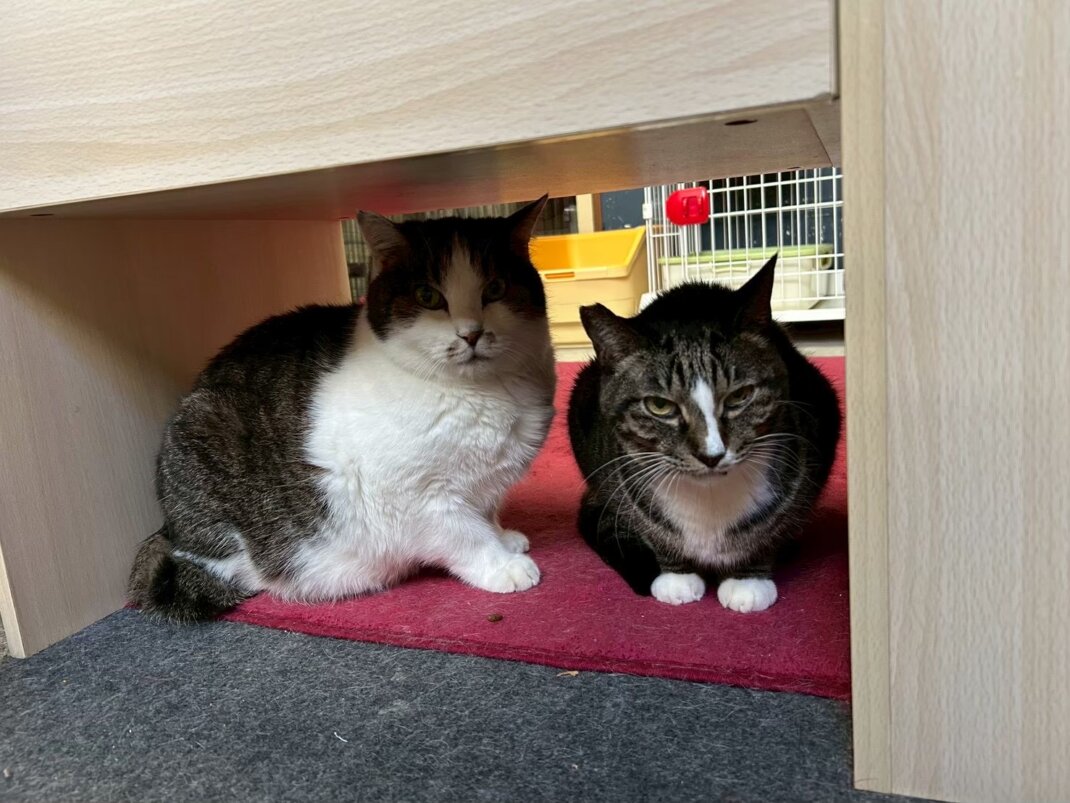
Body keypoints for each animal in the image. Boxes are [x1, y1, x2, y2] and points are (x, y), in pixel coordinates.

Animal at [128, 198, 557, 622]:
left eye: (496, 288)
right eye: (428, 296)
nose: (472, 332)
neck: (480, 393)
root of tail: (167, 530)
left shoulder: (485, 488)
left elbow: (487, 514)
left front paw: (504, 537)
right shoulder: (418, 497)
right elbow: (465, 534)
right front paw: (501, 564)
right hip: (206, 444)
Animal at [567, 255, 841, 611]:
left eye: (740, 396)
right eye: (659, 405)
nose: (711, 455)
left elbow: (774, 529)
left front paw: (748, 580)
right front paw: (676, 576)